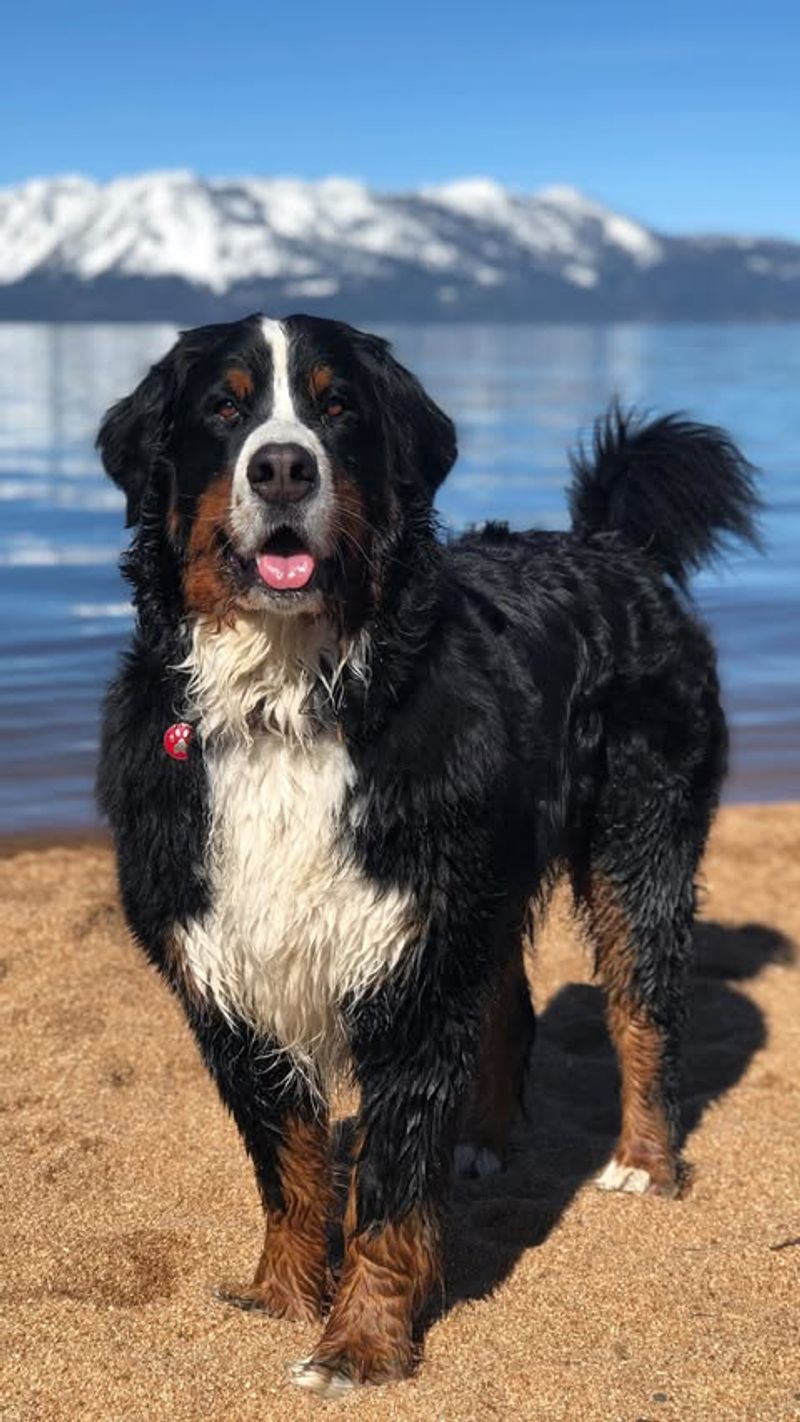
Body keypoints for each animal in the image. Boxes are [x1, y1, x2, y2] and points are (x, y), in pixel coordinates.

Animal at [97, 314, 761, 1399]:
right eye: (224, 410)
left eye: (337, 408)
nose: (283, 467)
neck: (290, 701)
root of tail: (608, 544)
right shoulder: (235, 971)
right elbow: (289, 1166)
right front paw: (283, 1293)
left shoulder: (407, 970)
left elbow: (389, 1192)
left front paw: (359, 1345)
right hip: (472, 889)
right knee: (509, 1008)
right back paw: (486, 1142)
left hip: (637, 842)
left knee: (641, 1007)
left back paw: (643, 1161)